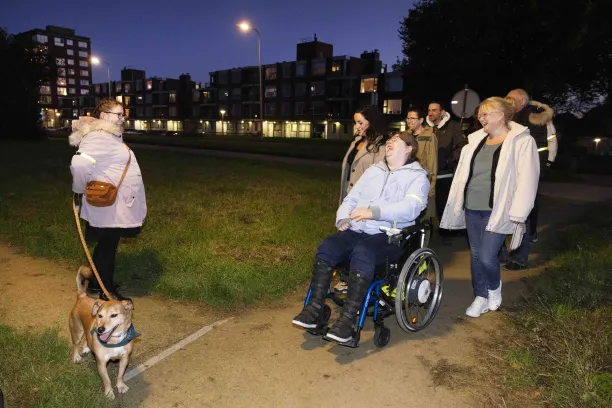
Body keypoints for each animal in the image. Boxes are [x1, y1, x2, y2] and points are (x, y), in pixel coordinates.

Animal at [69, 266, 137, 400]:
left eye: (114, 315)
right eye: (99, 316)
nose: (100, 329)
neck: (114, 340)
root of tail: (82, 296)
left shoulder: (125, 359)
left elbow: (120, 375)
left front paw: (120, 386)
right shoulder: (101, 364)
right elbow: (107, 381)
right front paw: (109, 392)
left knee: (87, 337)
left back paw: (86, 347)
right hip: (77, 332)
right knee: (75, 345)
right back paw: (76, 357)